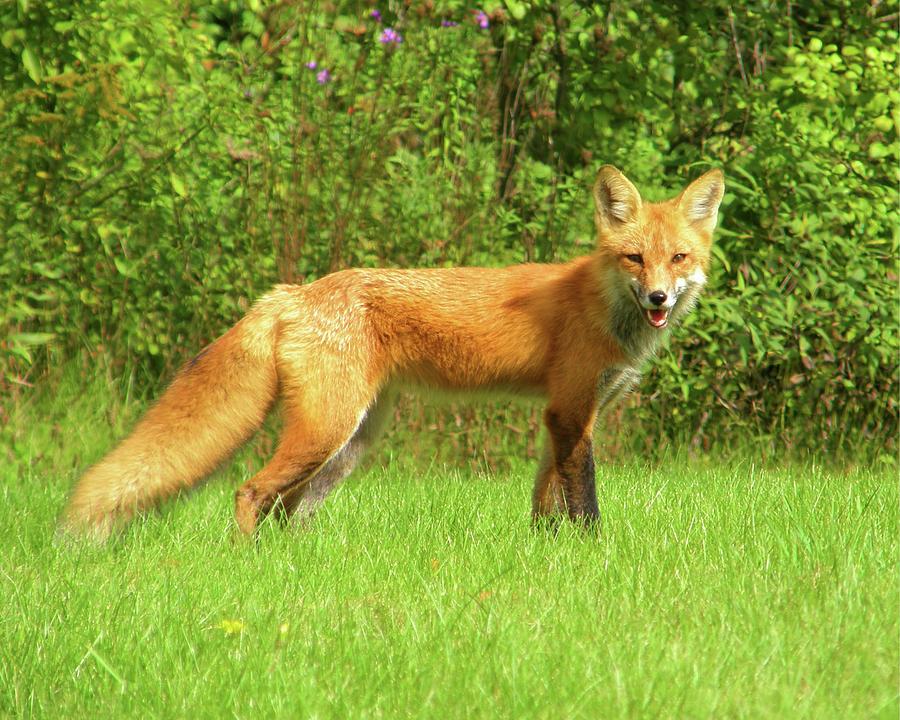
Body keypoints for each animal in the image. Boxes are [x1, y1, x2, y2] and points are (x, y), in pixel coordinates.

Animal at [61, 167, 724, 540]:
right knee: (252, 493)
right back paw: (245, 567)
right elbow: (583, 503)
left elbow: (545, 501)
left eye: (679, 258)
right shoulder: (571, 412)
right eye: (635, 258)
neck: (601, 301)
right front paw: (592, 555)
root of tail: (293, 291)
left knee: (288, 509)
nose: (659, 297)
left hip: (351, 441)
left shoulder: (565, 414)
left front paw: (544, 555)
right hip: (327, 430)